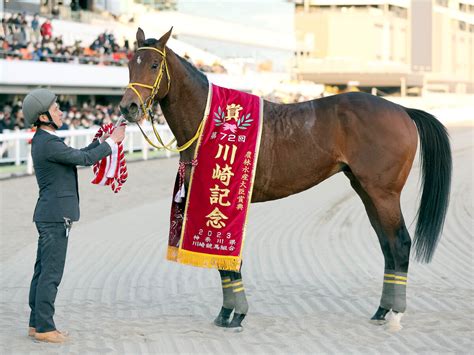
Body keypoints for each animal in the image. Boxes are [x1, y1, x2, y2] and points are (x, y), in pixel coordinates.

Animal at [118, 28, 452, 330]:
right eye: (130, 64)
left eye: (153, 65)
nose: (127, 107)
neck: (212, 121)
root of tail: (402, 109)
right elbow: (226, 262)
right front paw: (227, 313)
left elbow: (229, 260)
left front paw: (234, 314)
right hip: (366, 190)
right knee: (387, 245)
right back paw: (382, 310)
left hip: (384, 193)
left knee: (401, 244)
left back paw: (395, 314)